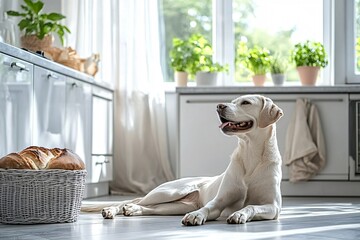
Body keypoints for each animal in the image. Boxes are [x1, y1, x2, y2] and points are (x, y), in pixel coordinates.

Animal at [82, 94, 284, 226]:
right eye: (233, 102)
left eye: (245, 102)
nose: (219, 106)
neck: (251, 153)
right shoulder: (219, 201)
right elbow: (208, 207)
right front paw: (196, 216)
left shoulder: (273, 207)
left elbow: (251, 206)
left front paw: (239, 214)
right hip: (169, 192)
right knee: (132, 201)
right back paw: (112, 210)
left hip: (174, 205)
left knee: (149, 207)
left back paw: (132, 210)